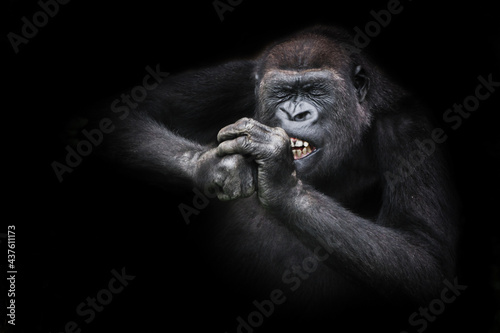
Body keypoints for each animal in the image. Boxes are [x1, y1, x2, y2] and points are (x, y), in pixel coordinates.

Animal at [101, 25, 460, 330]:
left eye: (316, 91)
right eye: (283, 92)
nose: (295, 113)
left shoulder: (409, 130)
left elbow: (423, 257)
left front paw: (280, 181)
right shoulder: (236, 79)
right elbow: (124, 116)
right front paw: (215, 166)